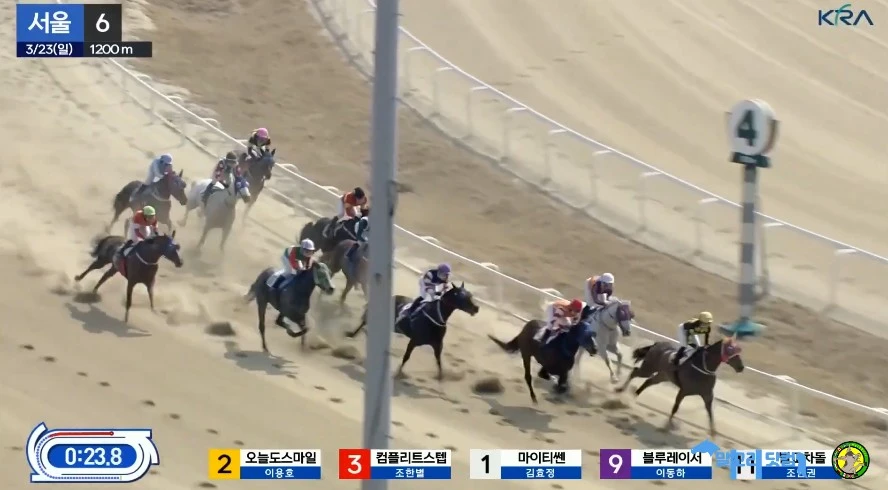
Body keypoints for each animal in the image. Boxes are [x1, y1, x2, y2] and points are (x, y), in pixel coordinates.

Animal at [345, 283, 480, 379]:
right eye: (461, 296)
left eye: (470, 294)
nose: (476, 308)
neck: (435, 317)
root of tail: (393, 296)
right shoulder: (414, 341)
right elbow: (406, 357)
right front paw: (398, 373)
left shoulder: (437, 345)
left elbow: (439, 362)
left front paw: (441, 378)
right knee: (365, 320)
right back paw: (352, 334)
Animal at [615, 337, 745, 437]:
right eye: (730, 349)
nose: (741, 367)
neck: (703, 368)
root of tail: (657, 343)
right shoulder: (684, 391)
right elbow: (675, 408)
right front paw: (666, 426)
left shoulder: (707, 395)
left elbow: (710, 413)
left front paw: (713, 433)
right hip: (649, 368)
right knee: (635, 372)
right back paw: (620, 390)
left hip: (663, 375)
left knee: (648, 381)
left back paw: (634, 395)